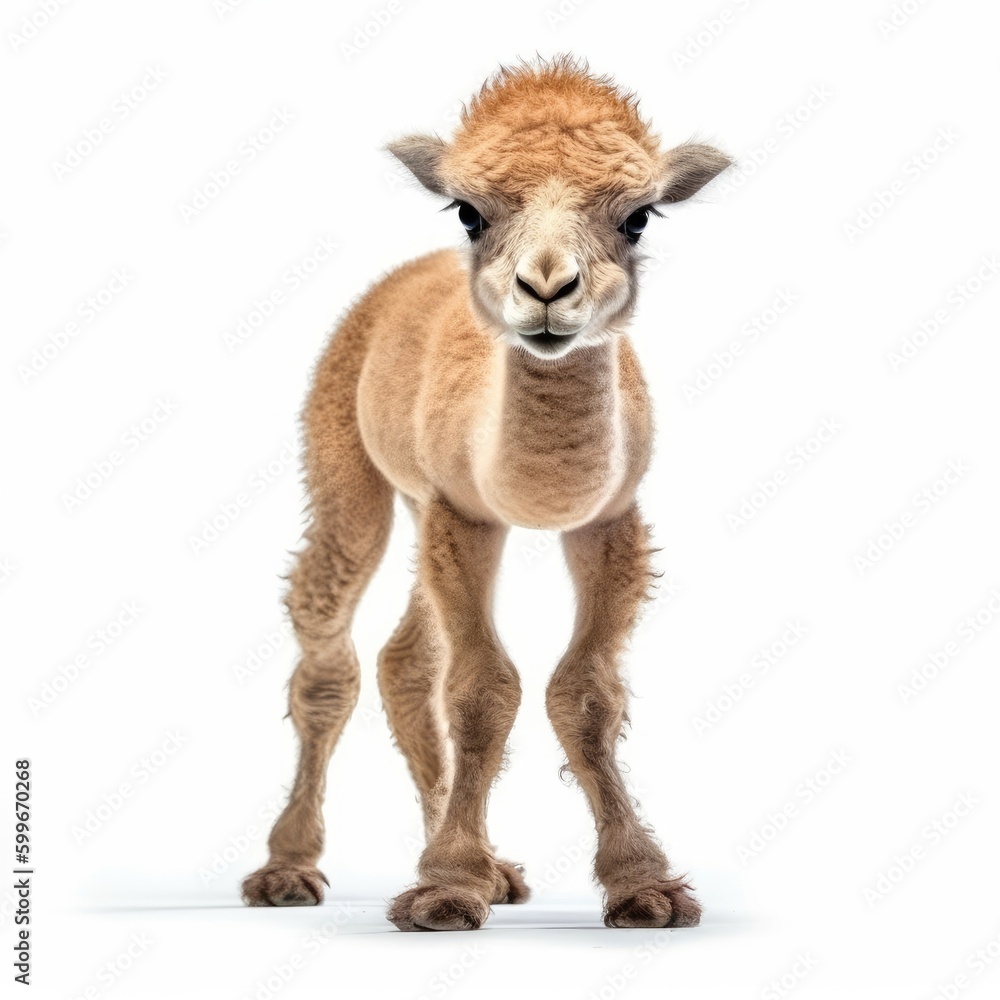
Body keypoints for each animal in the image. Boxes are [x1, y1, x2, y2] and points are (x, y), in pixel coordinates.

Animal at [241, 55, 730, 931]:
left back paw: (496, 870)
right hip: (343, 453)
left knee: (406, 658)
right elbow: (479, 691)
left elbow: (585, 693)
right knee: (328, 646)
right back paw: (287, 870)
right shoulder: (465, 512)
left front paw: (644, 887)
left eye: (639, 217)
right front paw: (444, 890)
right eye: (469, 212)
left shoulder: (609, 518)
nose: (547, 287)